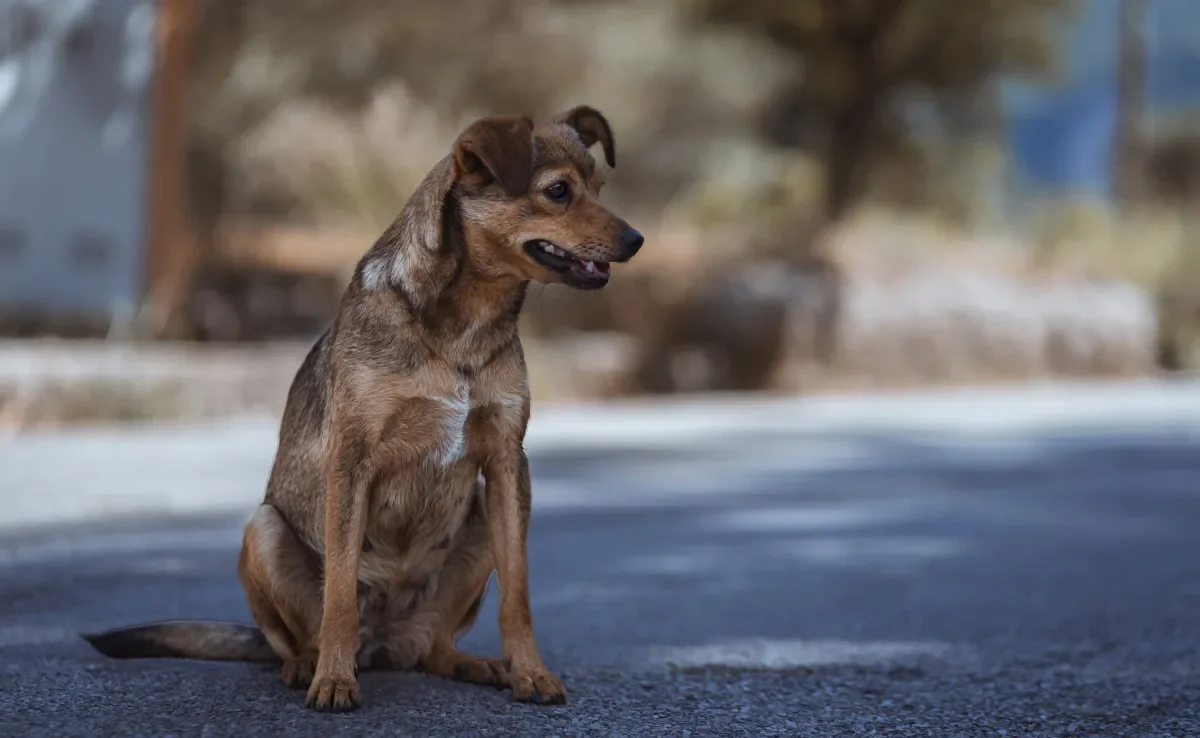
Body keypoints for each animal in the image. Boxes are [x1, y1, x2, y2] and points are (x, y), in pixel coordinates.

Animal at [82, 106, 648, 715]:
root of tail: (385, 645)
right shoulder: (352, 462)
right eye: (558, 191)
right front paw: (333, 681)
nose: (637, 240)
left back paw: (473, 664)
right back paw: (308, 665)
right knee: (294, 637)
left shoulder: (505, 464)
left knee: (433, 648)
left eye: (600, 187)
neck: (463, 326)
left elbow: (517, 595)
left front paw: (531, 673)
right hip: (263, 531)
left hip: (475, 524)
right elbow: (339, 595)